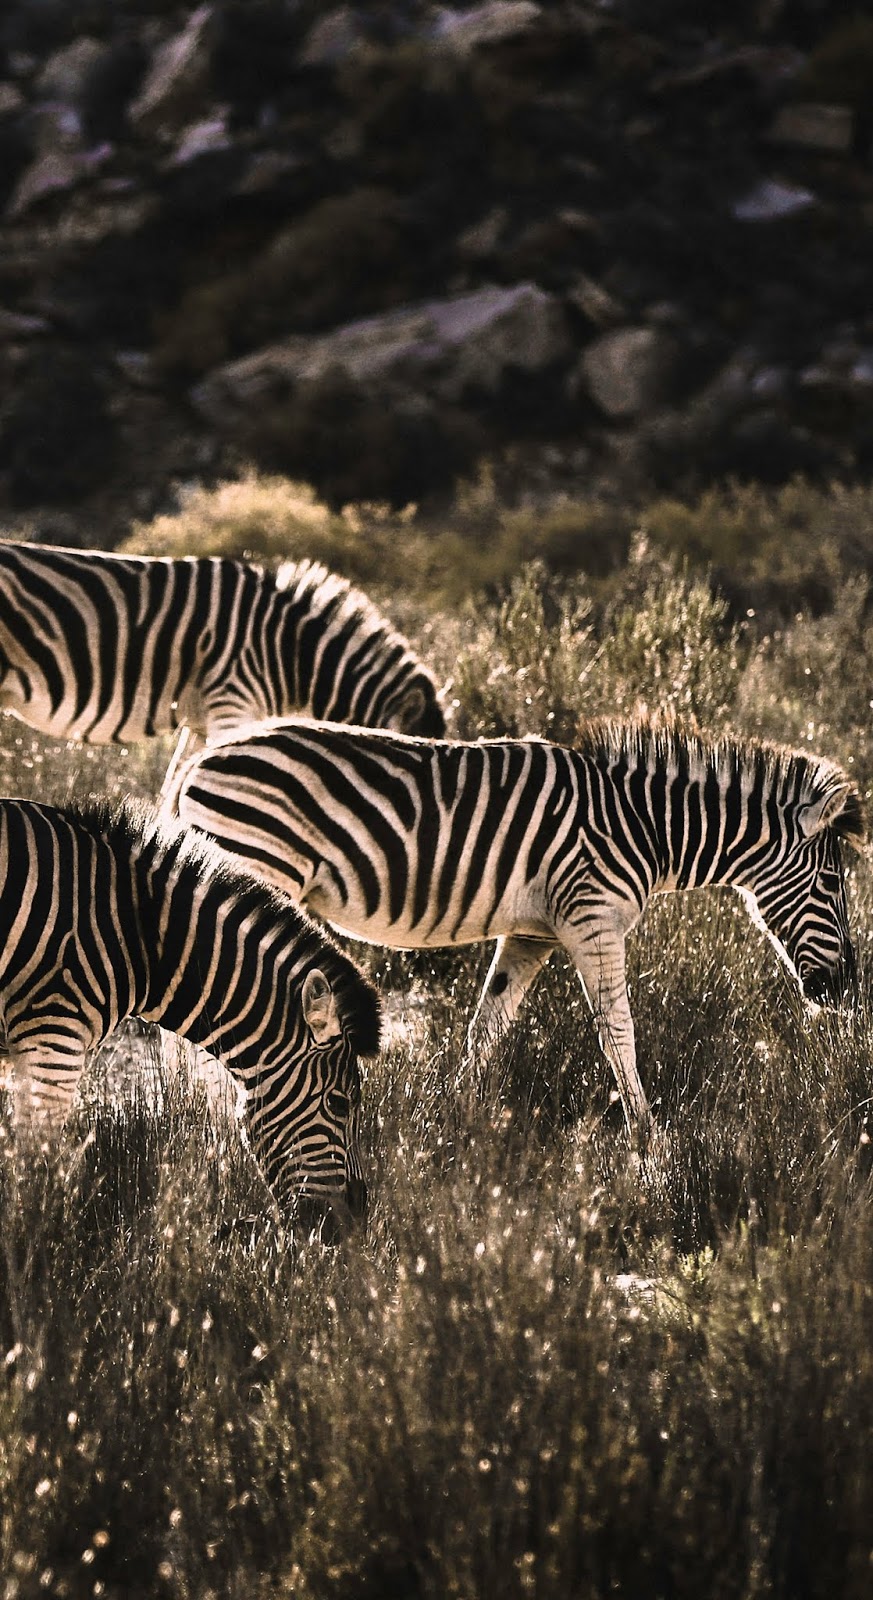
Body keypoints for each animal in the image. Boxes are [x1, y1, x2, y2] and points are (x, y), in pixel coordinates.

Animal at [0, 796, 380, 1222]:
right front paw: (35, 1236)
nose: (355, 1221)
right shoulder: (53, 1037)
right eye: (339, 1104)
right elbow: (33, 1169)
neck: (139, 936)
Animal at [166, 713, 857, 1139]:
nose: (845, 990)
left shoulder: (531, 935)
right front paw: (650, 1141)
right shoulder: (592, 920)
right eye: (832, 884)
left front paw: (451, 1120)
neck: (644, 826)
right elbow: (619, 1034)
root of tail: (199, 763)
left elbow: (486, 1030)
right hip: (253, 867)